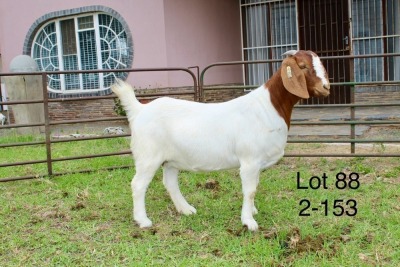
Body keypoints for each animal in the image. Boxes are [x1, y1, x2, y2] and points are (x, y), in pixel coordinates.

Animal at [111, 50, 330, 232]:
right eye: (302, 66)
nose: (326, 87)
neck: (268, 107)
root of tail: (140, 109)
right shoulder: (249, 161)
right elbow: (250, 190)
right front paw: (249, 222)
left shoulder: (257, 162)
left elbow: (255, 187)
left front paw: (252, 211)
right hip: (148, 156)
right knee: (138, 185)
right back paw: (143, 221)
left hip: (170, 160)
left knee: (170, 183)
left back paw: (186, 209)